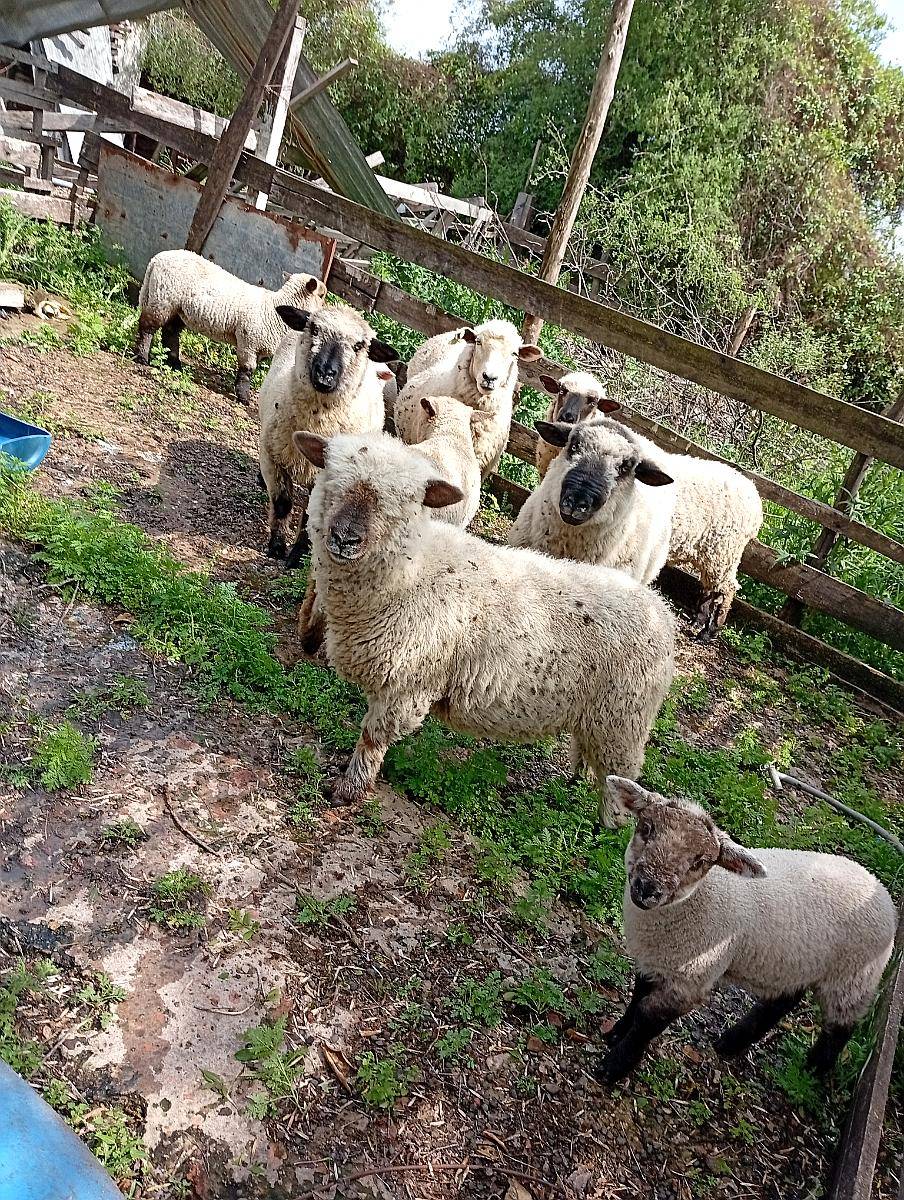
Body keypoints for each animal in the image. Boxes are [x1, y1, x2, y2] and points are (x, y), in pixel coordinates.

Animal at [135, 249, 327, 406]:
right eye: (322, 295)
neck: (274, 309)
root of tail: (157, 259)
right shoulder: (248, 341)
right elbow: (247, 370)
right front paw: (243, 397)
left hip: (177, 308)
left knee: (170, 332)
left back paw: (174, 364)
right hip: (163, 298)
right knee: (147, 327)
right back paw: (142, 357)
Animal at [257, 303, 398, 567]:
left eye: (359, 345)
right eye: (313, 328)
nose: (325, 374)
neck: (315, 426)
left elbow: (311, 516)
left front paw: (298, 556)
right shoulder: (272, 456)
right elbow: (282, 503)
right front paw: (277, 545)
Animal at [595, 776, 898, 1084]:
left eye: (700, 862)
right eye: (646, 828)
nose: (647, 888)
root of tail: (881, 891)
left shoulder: (692, 979)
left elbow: (648, 1019)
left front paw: (614, 1066)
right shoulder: (655, 961)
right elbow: (637, 998)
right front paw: (616, 1033)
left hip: (853, 978)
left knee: (840, 1027)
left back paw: (814, 1071)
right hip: (801, 962)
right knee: (783, 1001)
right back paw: (730, 1043)